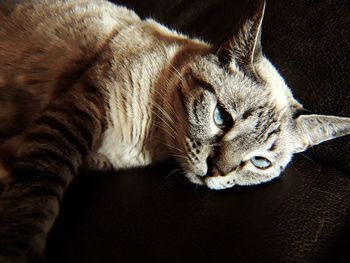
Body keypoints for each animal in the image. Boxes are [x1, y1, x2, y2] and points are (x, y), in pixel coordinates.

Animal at [0, 0, 348, 262]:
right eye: (222, 118)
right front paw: (18, 254)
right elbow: (36, 195)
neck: (150, 142)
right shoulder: (77, 114)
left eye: (260, 162)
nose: (215, 171)